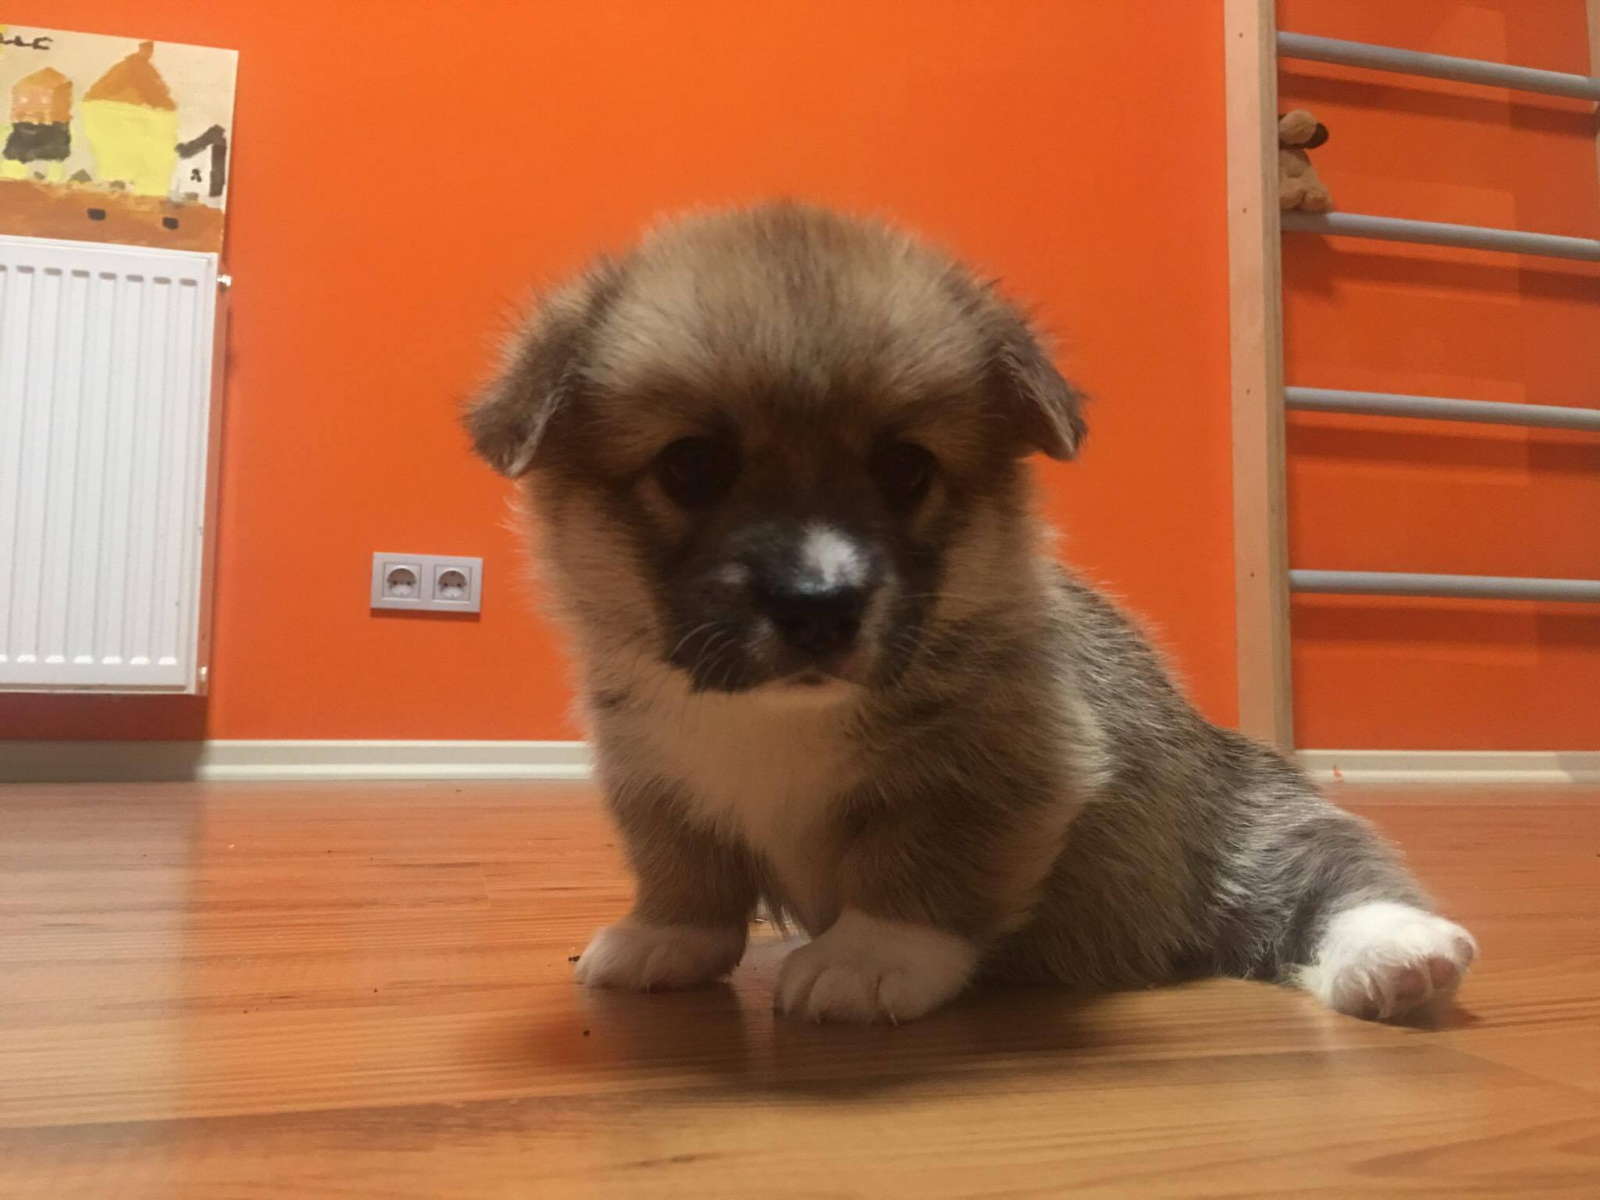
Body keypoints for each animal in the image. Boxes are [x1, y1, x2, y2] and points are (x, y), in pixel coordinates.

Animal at [466, 202, 1475, 1024]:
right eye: (691, 466)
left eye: (905, 468)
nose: (819, 606)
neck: (781, 717)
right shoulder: (652, 777)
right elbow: (681, 866)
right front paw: (663, 938)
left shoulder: (1004, 768)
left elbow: (921, 862)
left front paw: (867, 958)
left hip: (1255, 839)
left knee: (1331, 877)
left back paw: (1400, 954)